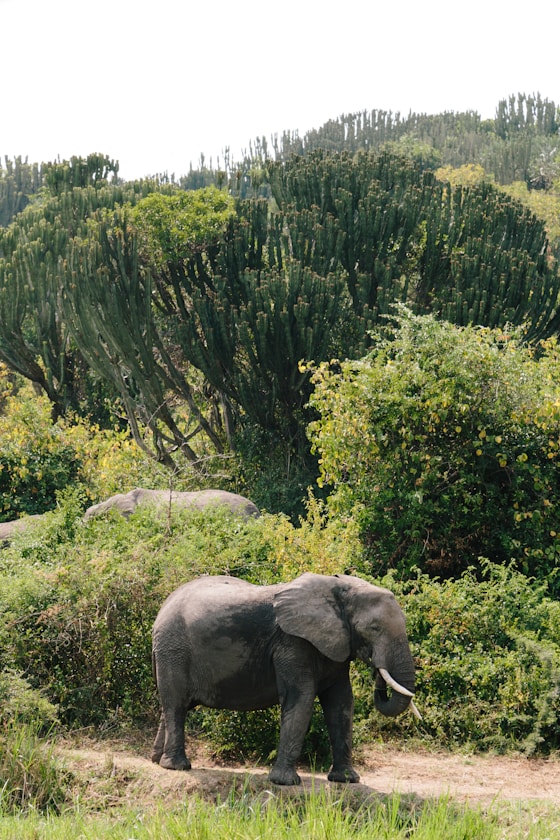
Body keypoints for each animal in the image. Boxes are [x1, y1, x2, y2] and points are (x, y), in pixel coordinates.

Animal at [151, 572, 418, 786]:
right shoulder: (292, 643)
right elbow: (301, 698)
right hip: (173, 649)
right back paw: (176, 766)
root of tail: (163, 606)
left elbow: (341, 704)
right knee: (176, 705)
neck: (337, 589)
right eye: (374, 628)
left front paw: (346, 780)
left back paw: (156, 761)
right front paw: (285, 783)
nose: (378, 672)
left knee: (173, 706)